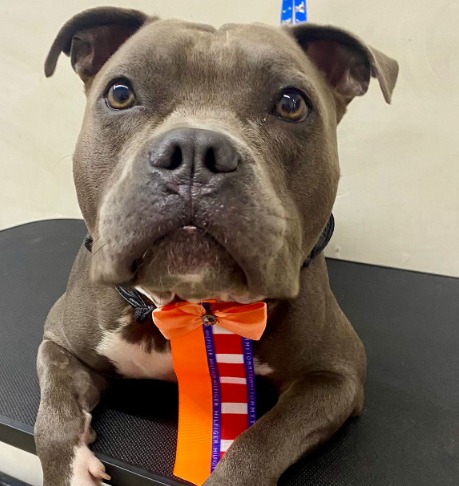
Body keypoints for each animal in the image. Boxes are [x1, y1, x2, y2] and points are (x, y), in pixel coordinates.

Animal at [36, 7, 398, 486]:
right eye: (120, 93)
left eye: (291, 103)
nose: (194, 150)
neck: (190, 305)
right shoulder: (58, 342)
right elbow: (52, 417)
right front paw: (72, 469)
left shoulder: (336, 375)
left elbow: (259, 443)